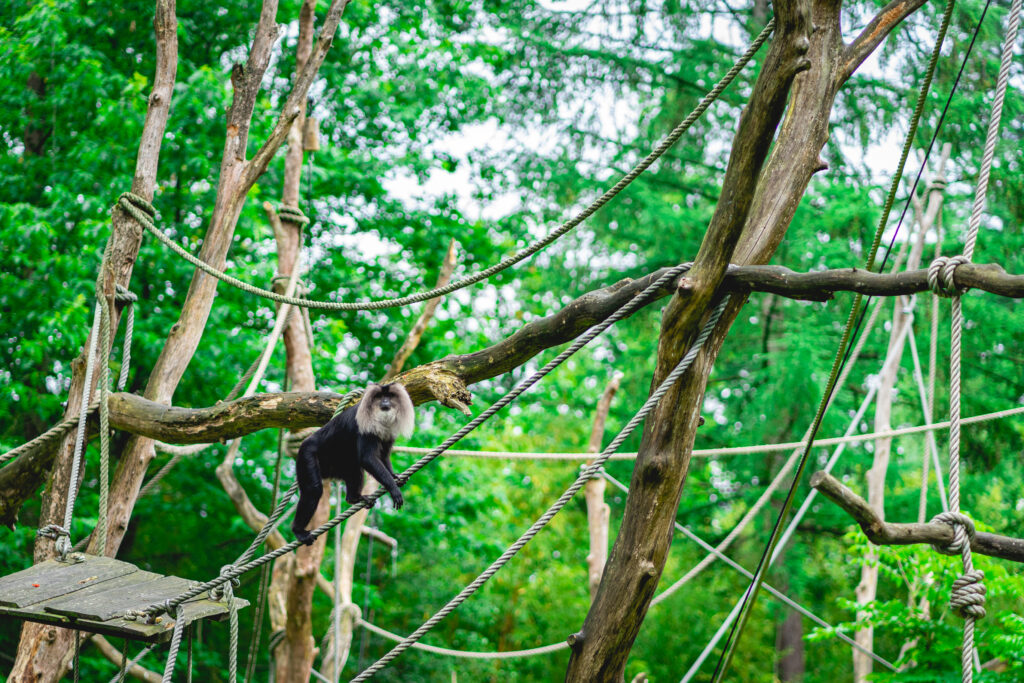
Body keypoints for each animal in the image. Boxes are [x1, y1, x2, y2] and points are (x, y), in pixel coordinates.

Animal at [290, 382, 413, 548]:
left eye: (390, 396)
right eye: (379, 396)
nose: (385, 402)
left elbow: (384, 456)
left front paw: (394, 477)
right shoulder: (366, 424)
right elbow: (368, 458)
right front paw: (393, 488)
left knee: (354, 469)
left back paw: (354, 498)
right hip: (306, 454)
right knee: (313, 490)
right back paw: (298, 531)